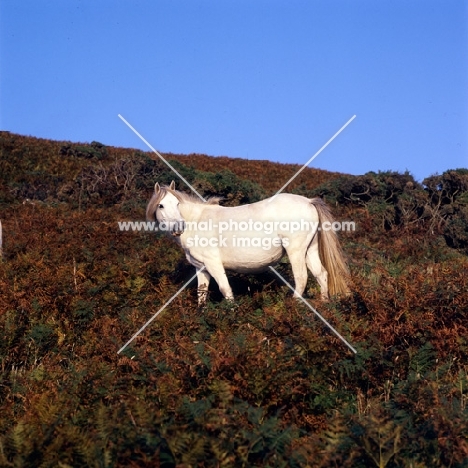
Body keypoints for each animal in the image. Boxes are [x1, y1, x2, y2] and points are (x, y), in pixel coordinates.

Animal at [144, 181, 350, 306]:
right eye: (161, 205)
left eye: (177, 204)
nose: (178, 227)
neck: (197, 220)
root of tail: (308, 201)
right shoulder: (201, 268)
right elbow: (201, 293)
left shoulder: (213, 264)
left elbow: (225, 289)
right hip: (310, 250)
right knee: (321, 274)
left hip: (296, 252)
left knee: (301, 278)